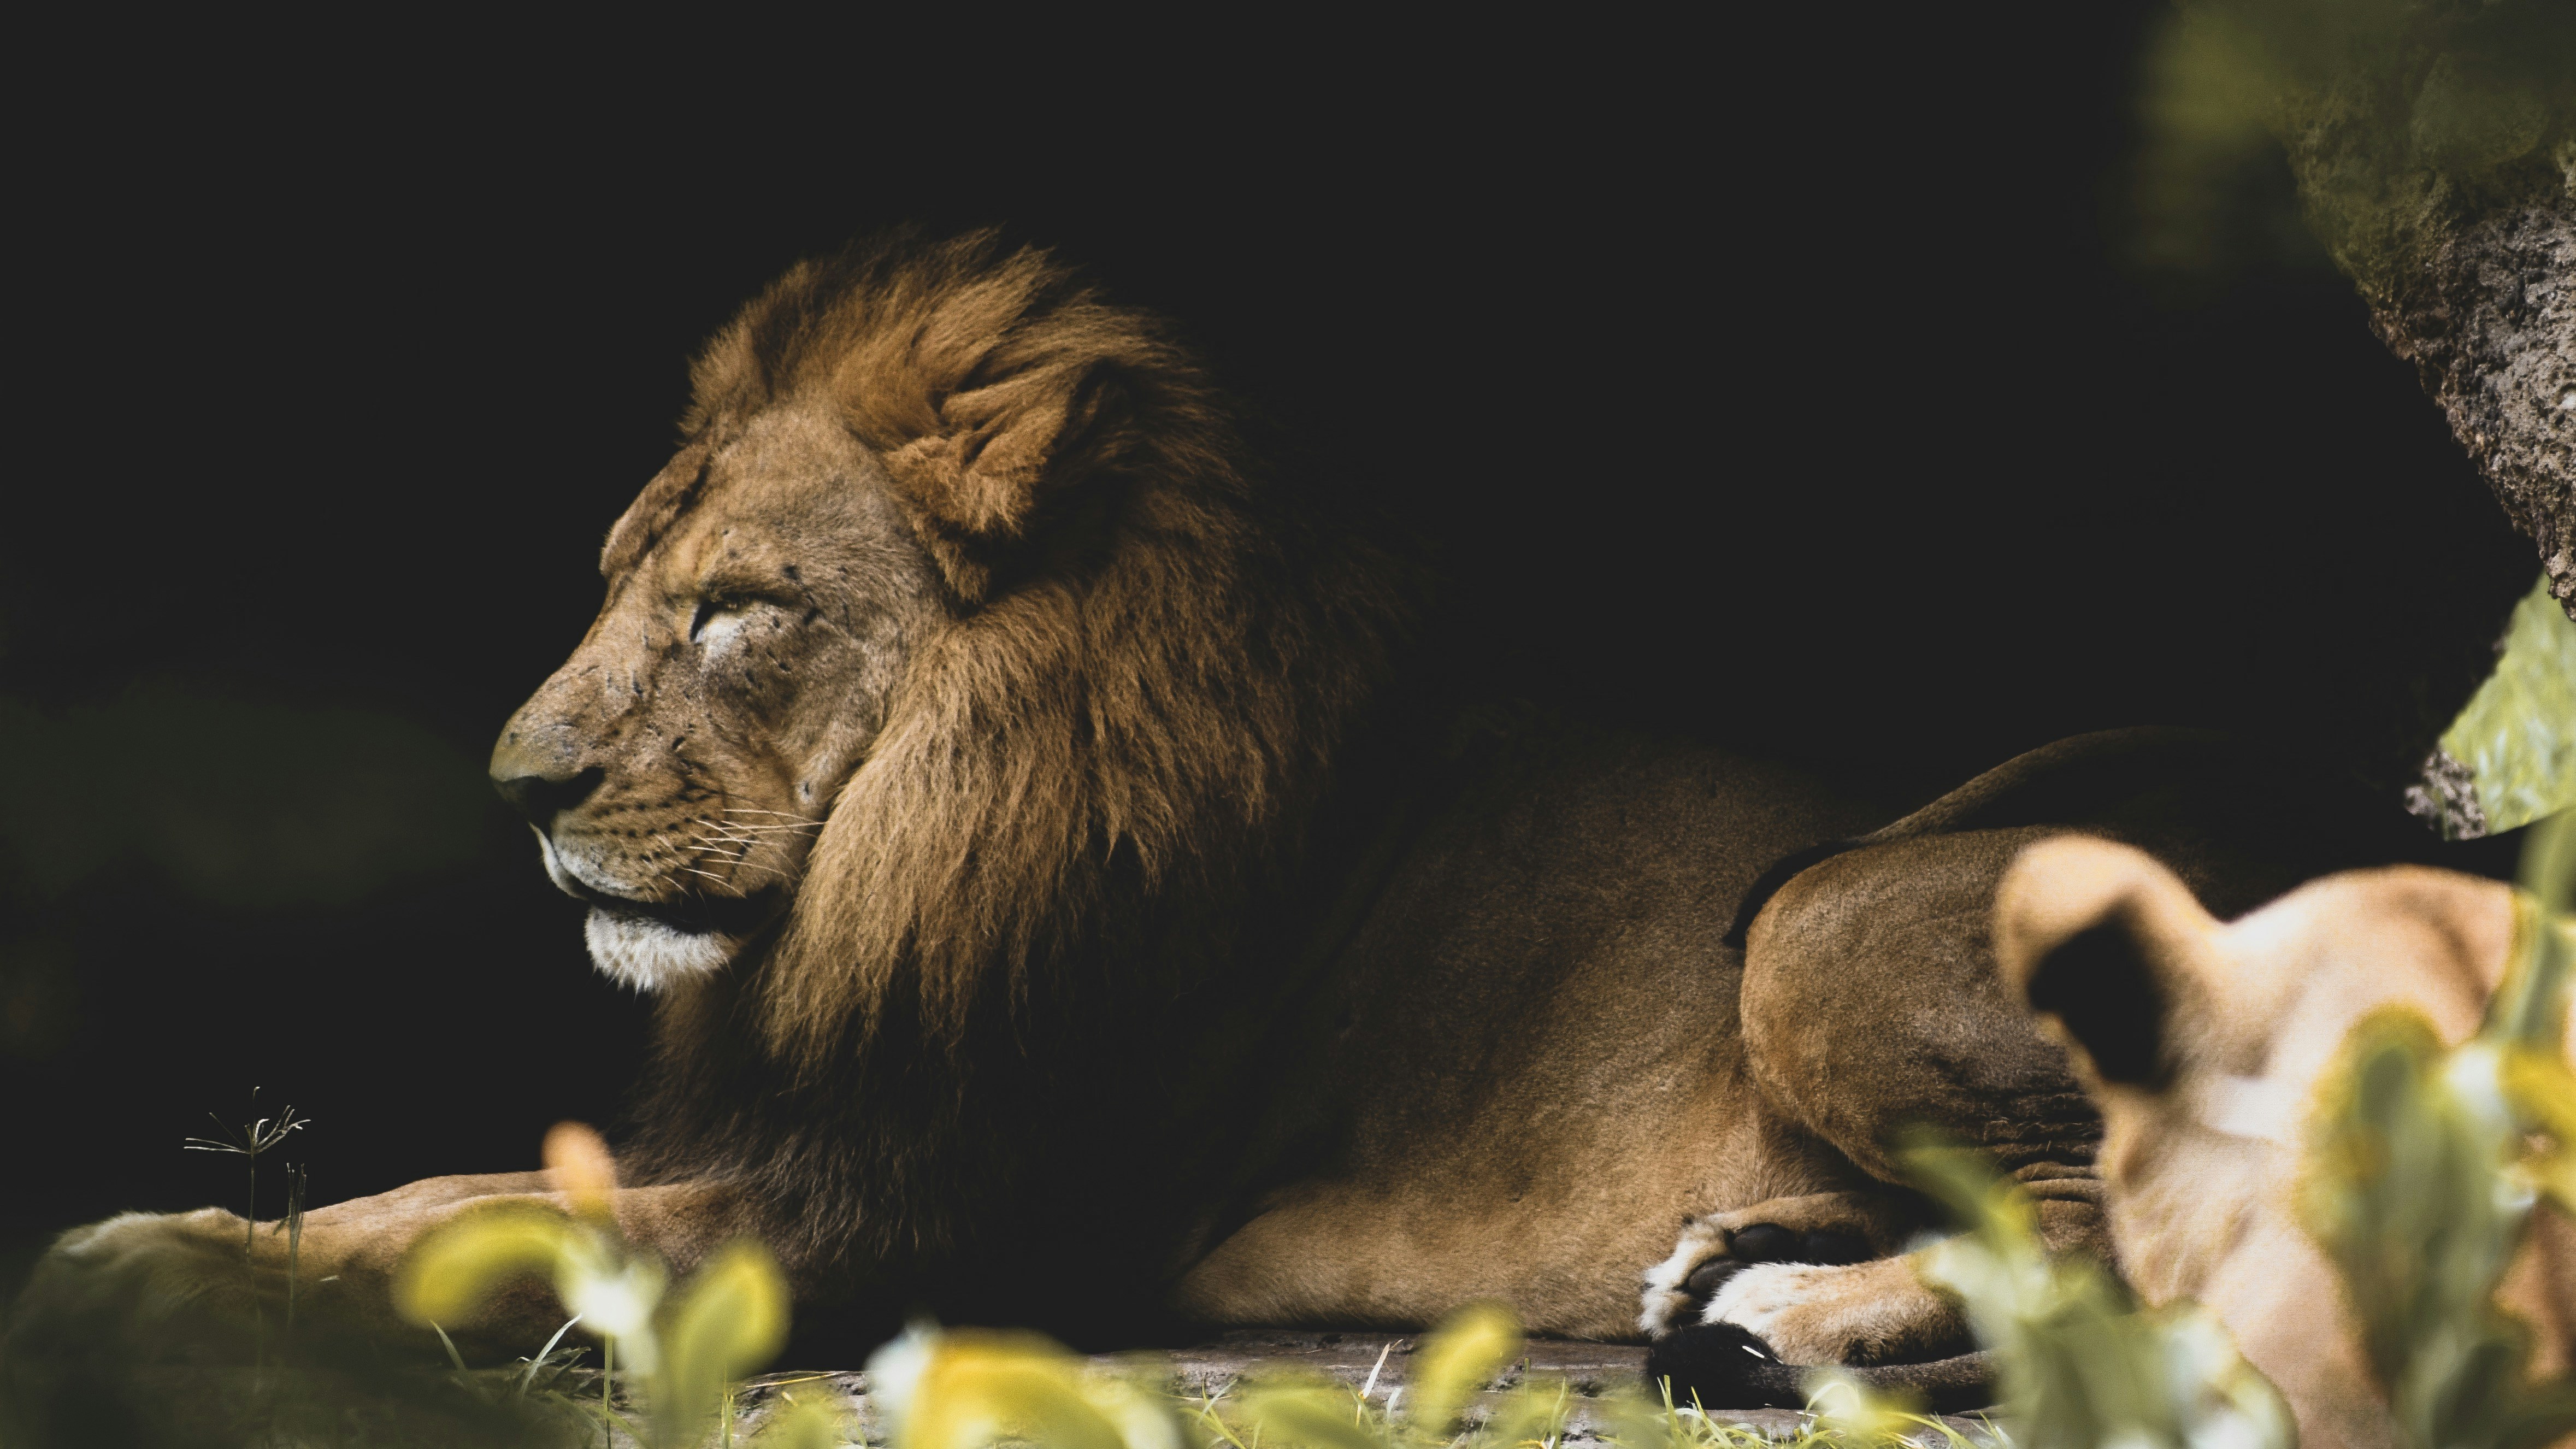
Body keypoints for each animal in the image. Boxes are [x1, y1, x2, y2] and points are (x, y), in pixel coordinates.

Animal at [0, 231, 2462, 1416]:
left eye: (735, 611)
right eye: (619, 582)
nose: (517, 791)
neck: (913, 838)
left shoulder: (920, 1208)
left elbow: (479, 1224)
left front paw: (144, 1276)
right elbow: (441, 1186)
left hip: (1822, 912)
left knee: (2155, 1232)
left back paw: (1784, 1316)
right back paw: (1739, 1279)